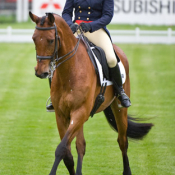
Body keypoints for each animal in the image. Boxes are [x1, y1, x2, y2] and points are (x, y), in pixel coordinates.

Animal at [29, 11, 152, 175]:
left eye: (50, 40)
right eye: (34, 38)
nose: (40, 72)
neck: (70, 70)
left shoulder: (80, 112)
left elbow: (61, 148)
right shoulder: (62, 115)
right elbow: (68, 152)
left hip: (119, 108)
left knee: (122, 141)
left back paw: (127, 170)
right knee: (81, 145)